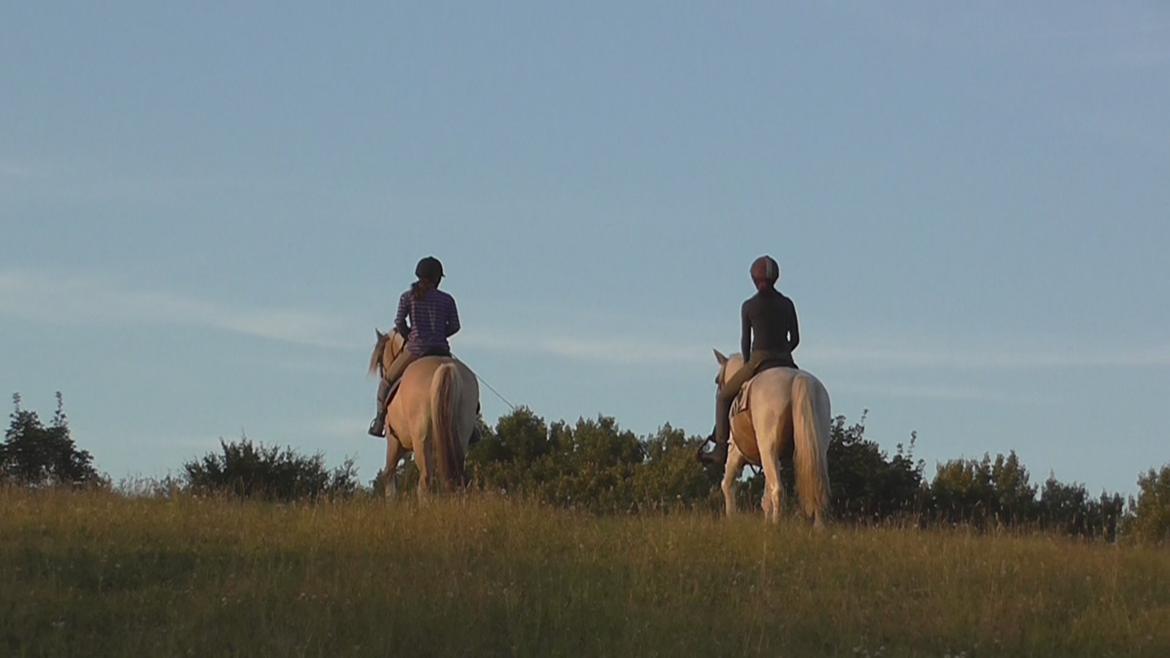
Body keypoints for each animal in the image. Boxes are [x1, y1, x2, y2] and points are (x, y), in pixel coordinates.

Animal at [362, 327, 477, 496]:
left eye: (379, 361)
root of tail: (444, 367)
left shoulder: (393, 441)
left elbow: (389, 475)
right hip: (460, 435)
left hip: (421, 440)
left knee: (425, 480)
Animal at [711, 346, 833, 524]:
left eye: (717, 380)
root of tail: (798, 378)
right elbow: (765, 498)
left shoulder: (736, 452)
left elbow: (727, 484)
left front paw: (731, 517)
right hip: (817, 448)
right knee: (816, 485)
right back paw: (819, 526)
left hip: (768, 449)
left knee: (778, 490)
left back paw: (776, 525)